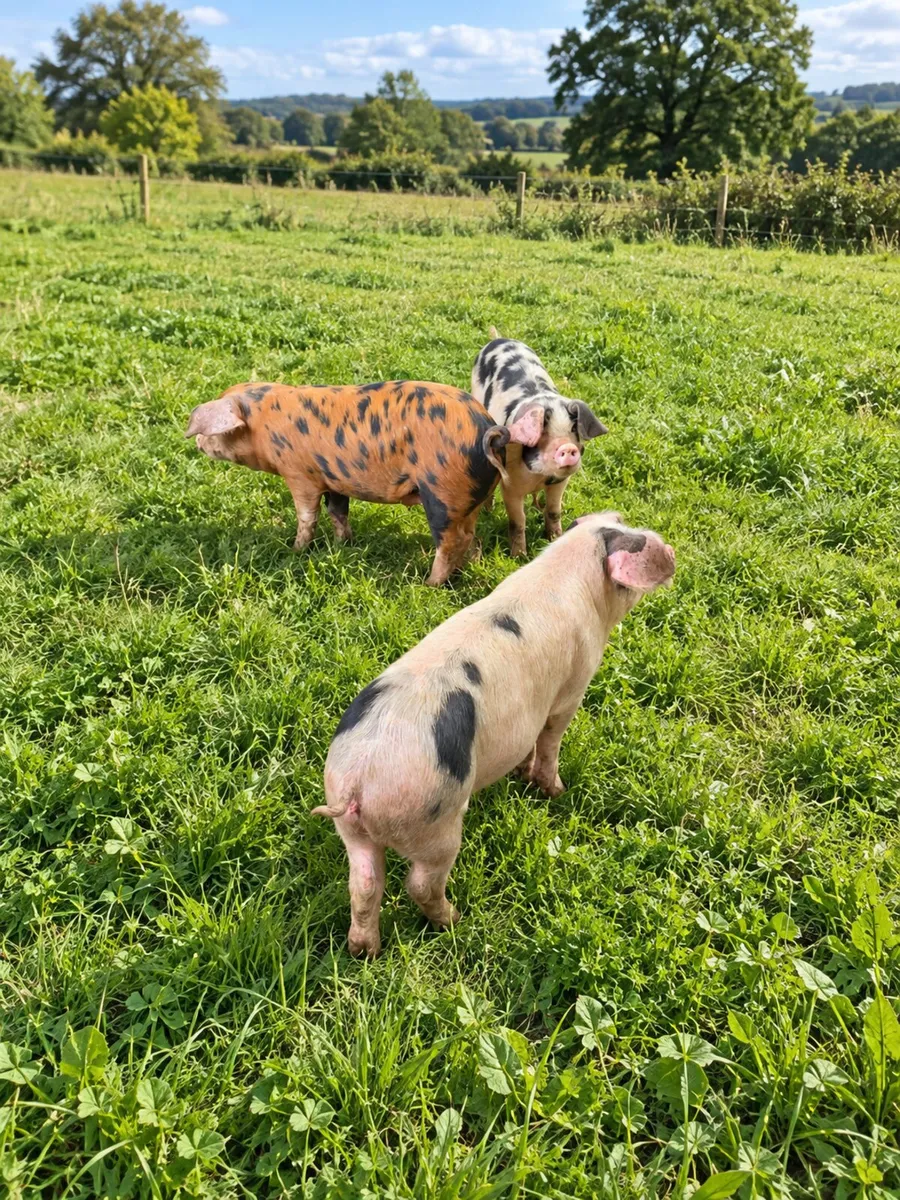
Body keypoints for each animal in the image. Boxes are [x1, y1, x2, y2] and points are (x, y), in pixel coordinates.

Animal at [185, 380, 530, 586]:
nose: (197, 442)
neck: (263, 425)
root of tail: (487, 429)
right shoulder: (334, 481)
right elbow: (338, 512)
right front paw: (343, 545)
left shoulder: (300, 475)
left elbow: (307, 516)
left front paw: (295, 550)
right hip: (468, 500)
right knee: (471, 536)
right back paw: (466, 569)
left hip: (441, 492)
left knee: (450, 540)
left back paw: (428, 583)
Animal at [314, 510, 675, 957]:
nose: (672, 551)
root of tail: (358, 782)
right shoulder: (571, 688)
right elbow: (551, 738)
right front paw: (554, 791)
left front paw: (522, 773)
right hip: (435, 822)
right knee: (419, 884)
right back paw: (454, 921)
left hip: (352, 830)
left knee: (363, 884)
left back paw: (365, 951)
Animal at [471, 331, 608, 558]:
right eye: (542, 431)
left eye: (573, 429)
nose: (566, 447)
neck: (540, 476)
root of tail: (499, 339)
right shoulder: (510, 486)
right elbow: (518, 522)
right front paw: (519, 556)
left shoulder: (560, 482)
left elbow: (553, 511)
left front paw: (555, 538)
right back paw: (488, 511)